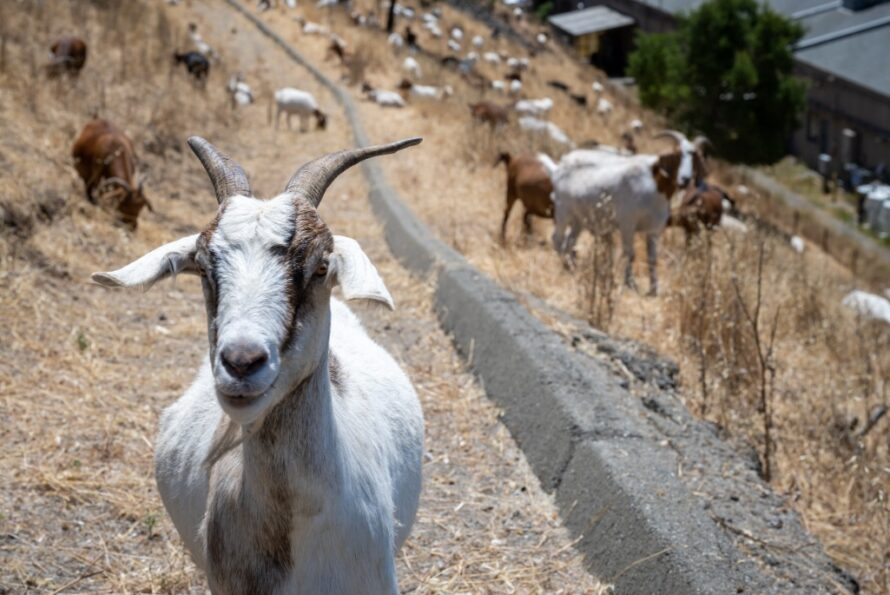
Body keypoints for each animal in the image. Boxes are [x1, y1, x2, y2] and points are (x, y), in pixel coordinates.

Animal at [552, 158, 677, 294]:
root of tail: (559, 170)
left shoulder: (653, 230)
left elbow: (652, 259)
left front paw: (654, 289)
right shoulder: (627, 225)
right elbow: (630, 254)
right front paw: (631, 283)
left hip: (578, 221)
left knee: (569, 242)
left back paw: (572, 267)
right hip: (563, 213)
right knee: (557, 239)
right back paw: (565, 265)